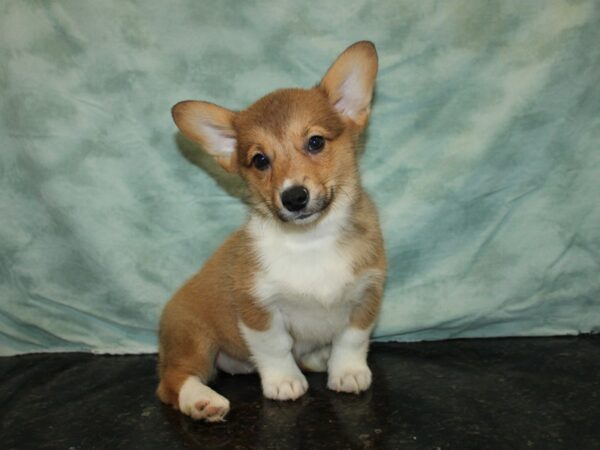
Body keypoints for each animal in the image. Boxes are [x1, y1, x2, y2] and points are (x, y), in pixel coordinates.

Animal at [157, 39, 386, 422]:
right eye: (260, 160)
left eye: (315, 142)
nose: (294, 197)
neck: (311, 241)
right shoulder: (258, 307)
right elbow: (275, 347)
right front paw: (283, 382)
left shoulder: (366, 296)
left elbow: (352, 340)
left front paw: (348, 372)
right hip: (196, 340)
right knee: (173, 380)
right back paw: (202, 401)